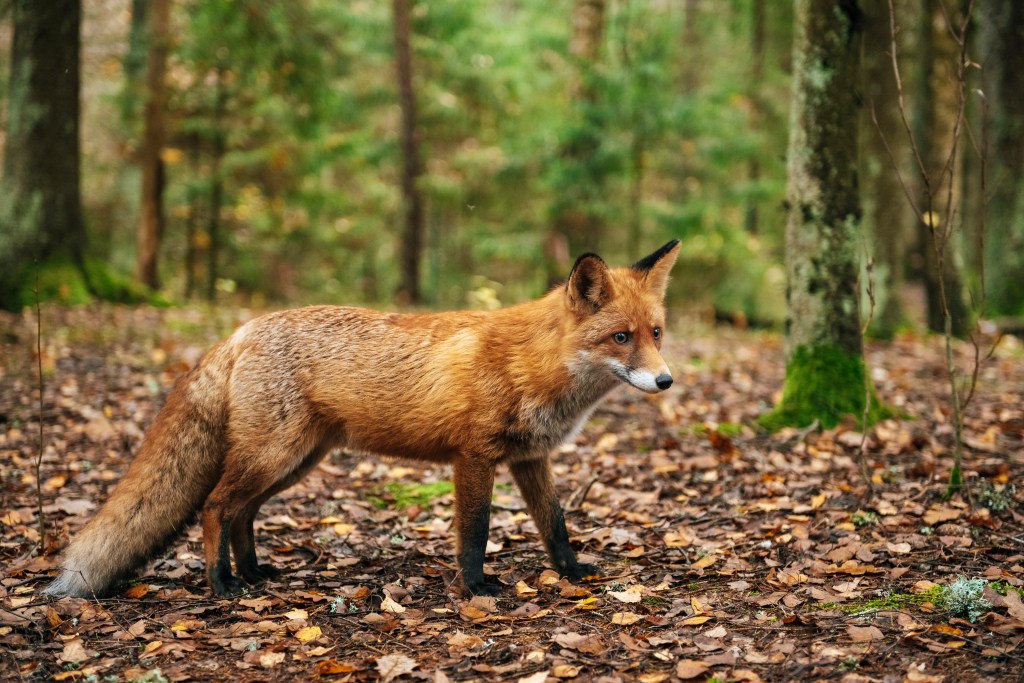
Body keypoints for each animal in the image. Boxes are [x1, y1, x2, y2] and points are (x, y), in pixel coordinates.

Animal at [44, 240, 680, 598]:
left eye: (656, 334)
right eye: (620, 338)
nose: (666, 381)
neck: (533, 365)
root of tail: (241, 330)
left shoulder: (531, 457)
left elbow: (556, 525)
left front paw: (572, 576)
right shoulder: (473, 457)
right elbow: (474, 533)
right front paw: (476, 589)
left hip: (296, 462)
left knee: (242, 512)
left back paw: (253, 574)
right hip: (273, 456)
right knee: (216, 506)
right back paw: (220, 584)